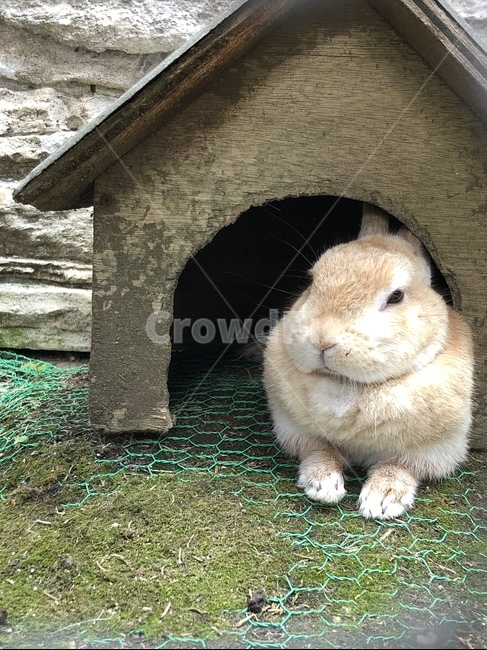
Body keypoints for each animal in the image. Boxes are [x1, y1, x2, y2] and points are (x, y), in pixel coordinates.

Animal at [262, 202, 474, 519]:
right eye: (312, 281)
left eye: (396, 296)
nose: (322, 339)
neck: (349, 386)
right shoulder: (295, 429)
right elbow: (319, 450)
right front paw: (323, 486)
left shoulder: (434, 448)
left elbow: (399, 466)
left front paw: (381, 501)